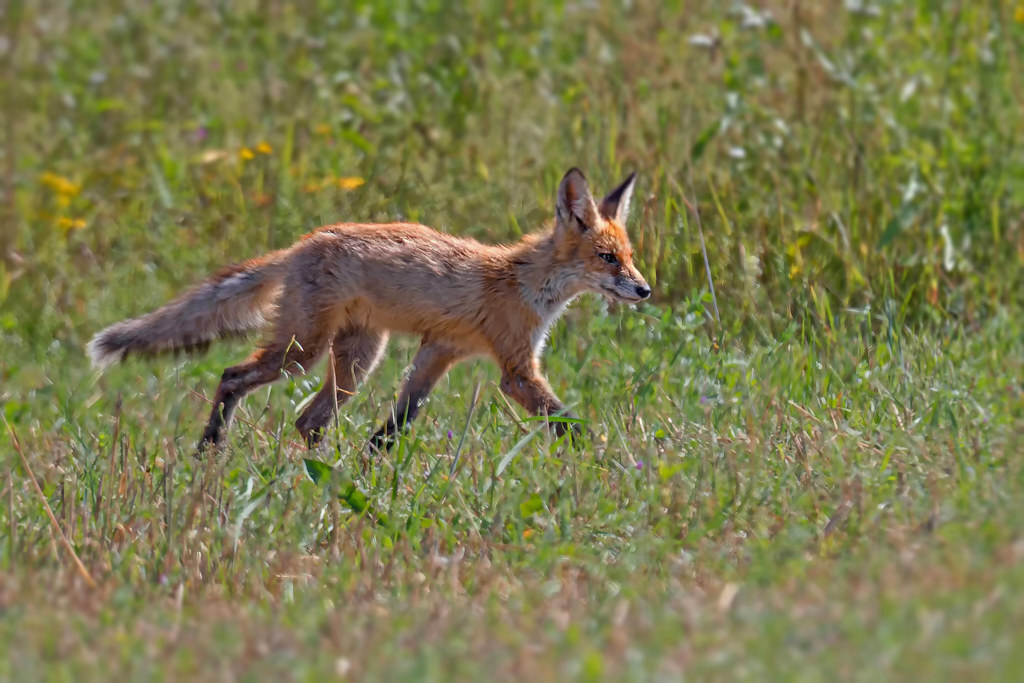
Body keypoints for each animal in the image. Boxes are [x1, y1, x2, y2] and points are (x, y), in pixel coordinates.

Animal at [88, 167, 647, 450]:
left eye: (630, 257)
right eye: (607, 258)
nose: (644, 291)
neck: (522, 281)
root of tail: (303, 243)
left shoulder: (439, 351)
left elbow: (396, 426)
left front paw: (371, 467)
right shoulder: (516, 369)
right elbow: (571, 424)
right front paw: (610, 460)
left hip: (356, 360)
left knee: (308, 420)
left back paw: (319, 476)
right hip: (302, 352)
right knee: (231, 376)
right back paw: (211, 446)